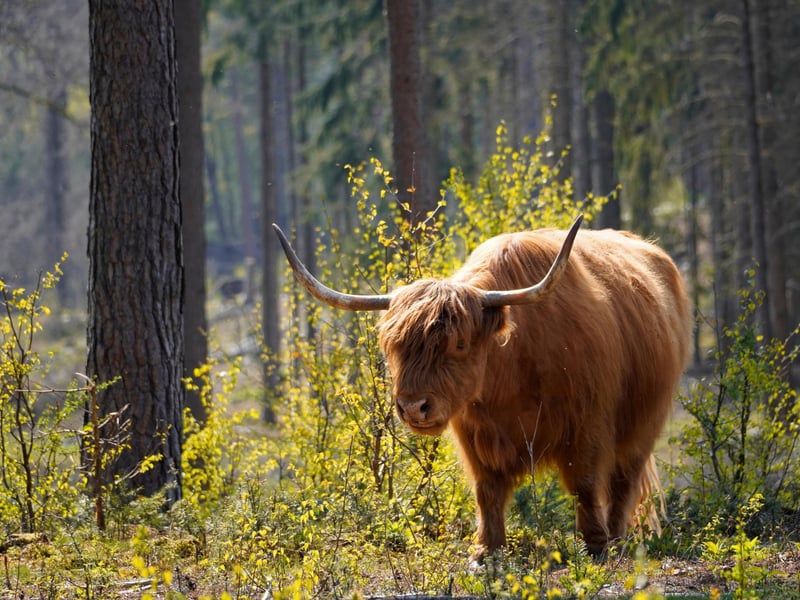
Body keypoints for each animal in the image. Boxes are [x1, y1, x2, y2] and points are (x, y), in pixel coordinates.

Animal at [273, 215, 692, 561]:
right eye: (392, 345)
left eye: (459, 344)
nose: (412, 407)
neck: (511, 375)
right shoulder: (474, 435)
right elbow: (487, 490)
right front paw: (485, 551)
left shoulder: (587, 424)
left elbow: (586, 486)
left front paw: (596, 546)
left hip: (645, 423)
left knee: (624, 480)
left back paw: (618, 541)